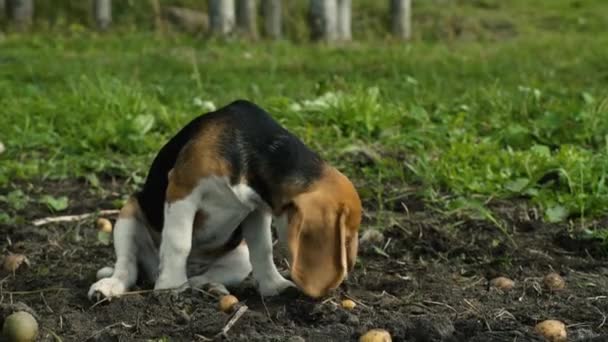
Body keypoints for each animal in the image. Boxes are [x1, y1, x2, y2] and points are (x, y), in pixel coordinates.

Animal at [88, 99, 364, 300]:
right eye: (346, 237)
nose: (349, 271)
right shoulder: (182, 189)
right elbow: (179, 242)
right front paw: (170, 286)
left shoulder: (256, 211)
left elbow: (263, 250)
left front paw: (274, 285)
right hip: (128, 216)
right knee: (127, 266)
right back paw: (112, 285)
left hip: (240, 257)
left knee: (207, 276)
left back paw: (206, 285)